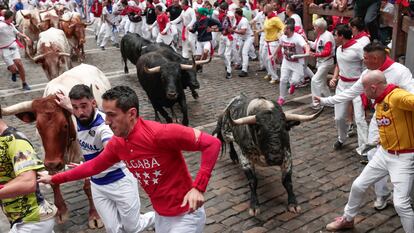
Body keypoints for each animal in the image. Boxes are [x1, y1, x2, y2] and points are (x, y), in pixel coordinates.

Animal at [0, 63, 110, 229]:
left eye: (64, 125)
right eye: (38, 127)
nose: (53, 164)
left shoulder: (86, 155)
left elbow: (88, 186)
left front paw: (95, 216)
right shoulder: (49, 155)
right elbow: (53, 181)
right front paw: (61, 212)